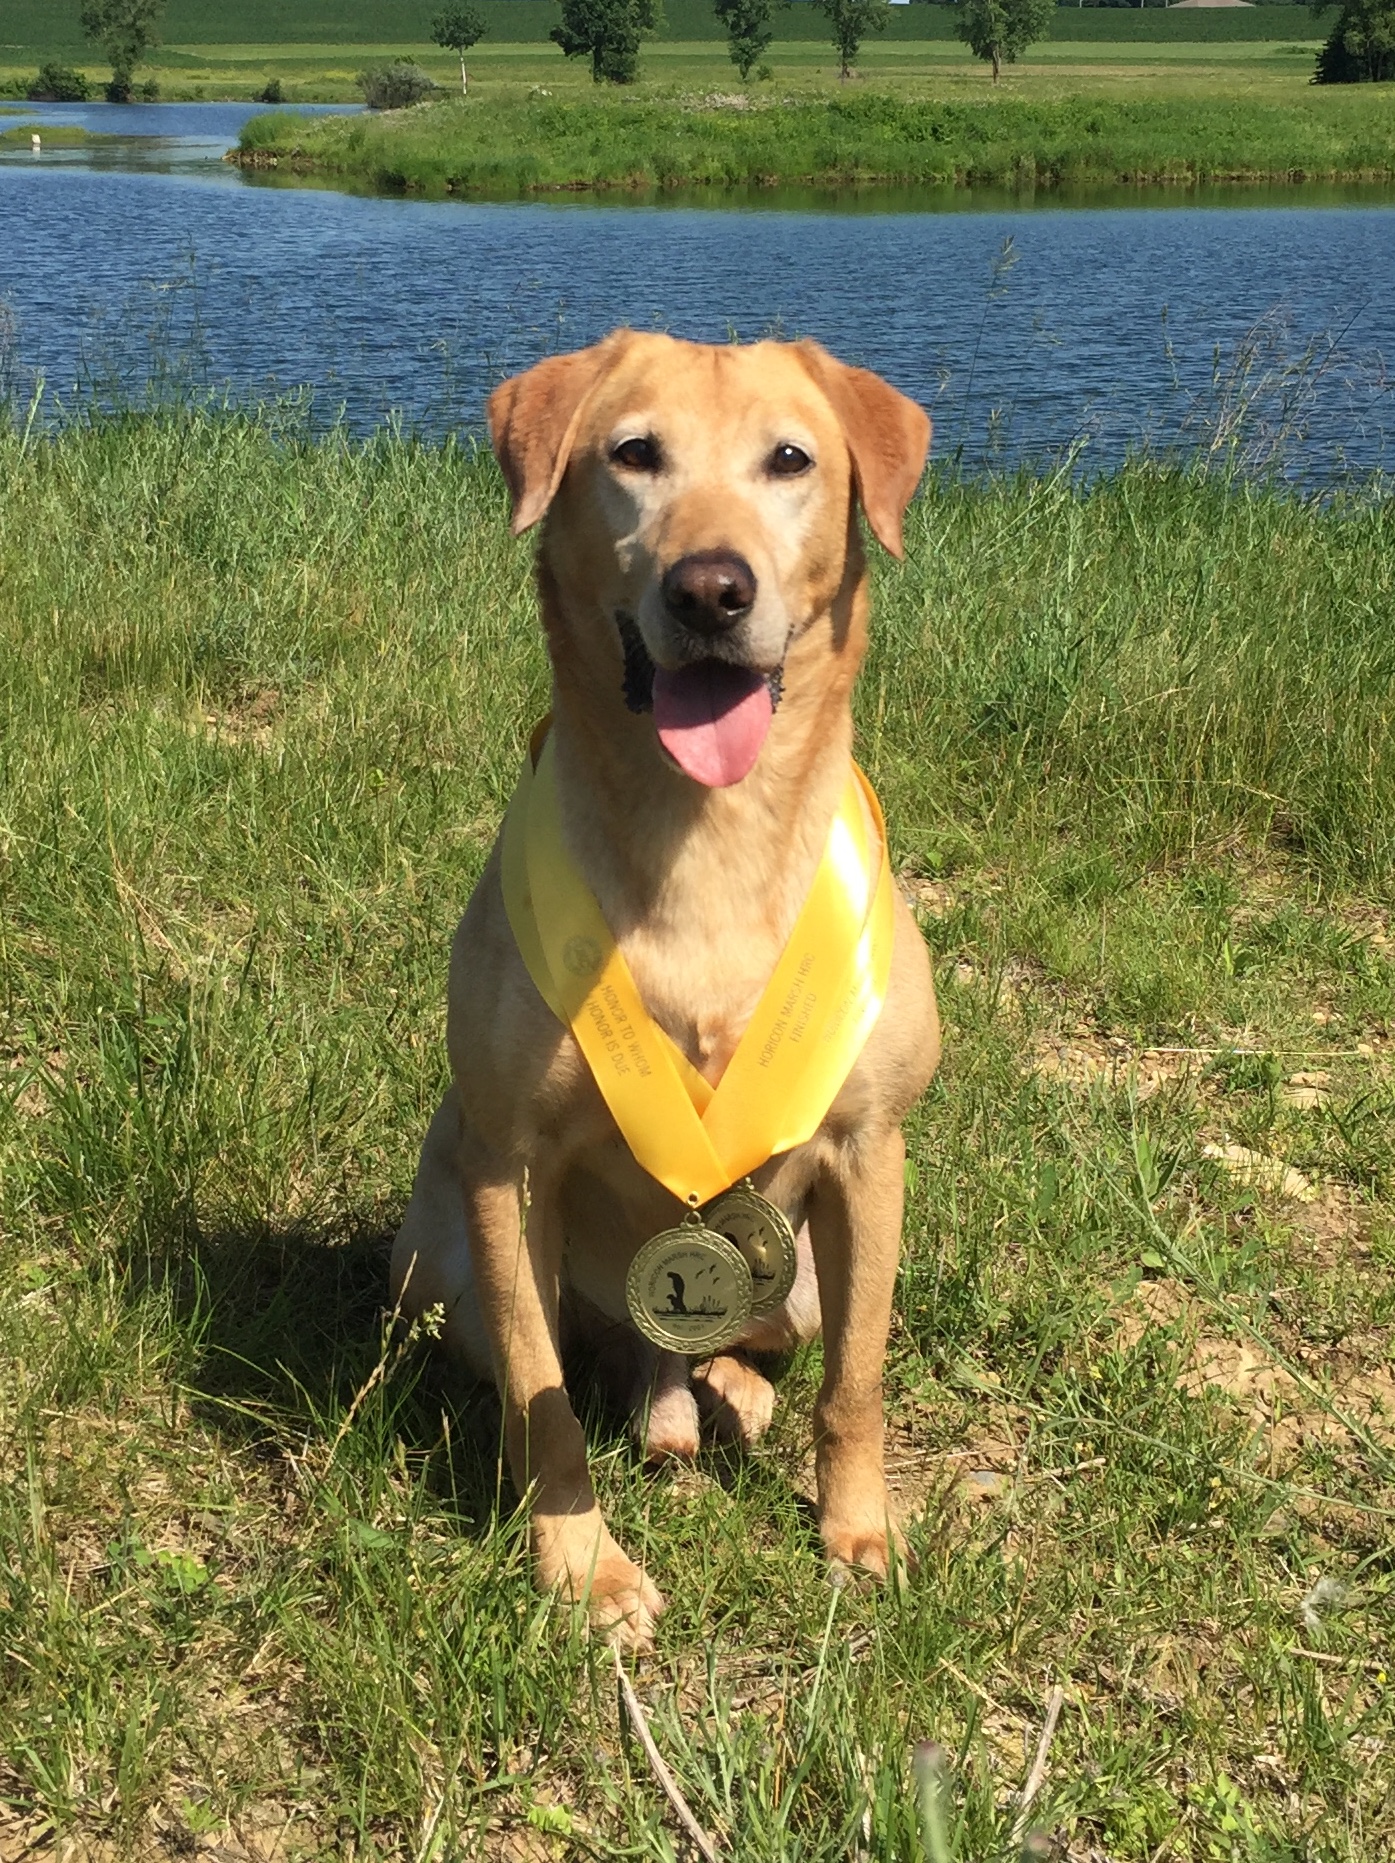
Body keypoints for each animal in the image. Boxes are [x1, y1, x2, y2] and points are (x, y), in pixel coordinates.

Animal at [389, 331, 934, 1646]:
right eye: (634, 454)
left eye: (790, 460)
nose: (710, 590)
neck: (710, 837)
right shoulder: (510, 1166)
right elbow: (542, 1395)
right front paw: (584, 1568)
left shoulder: (870, 1153)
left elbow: (858, 1379)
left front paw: (859, 1529)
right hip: (439, 1267)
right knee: (601, 1357)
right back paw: (671, 1413)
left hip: (797, 1278)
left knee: (749, 1344)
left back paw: (724, 1394)